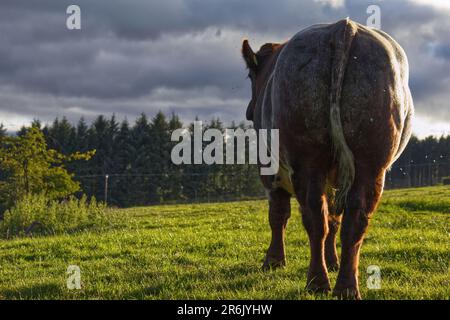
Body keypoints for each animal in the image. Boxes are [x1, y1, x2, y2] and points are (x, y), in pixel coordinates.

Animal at [241, 18, 414, 298]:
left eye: (250, 76)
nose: (248, 110)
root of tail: (342, 27)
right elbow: (334, 220)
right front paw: (332, 261)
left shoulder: (267, 167)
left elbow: (278, 214)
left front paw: (273, 261)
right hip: (372, 162)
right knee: (354, 219)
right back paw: (346, 286)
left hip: (307, 159)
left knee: (314, 218)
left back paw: (317, 282)